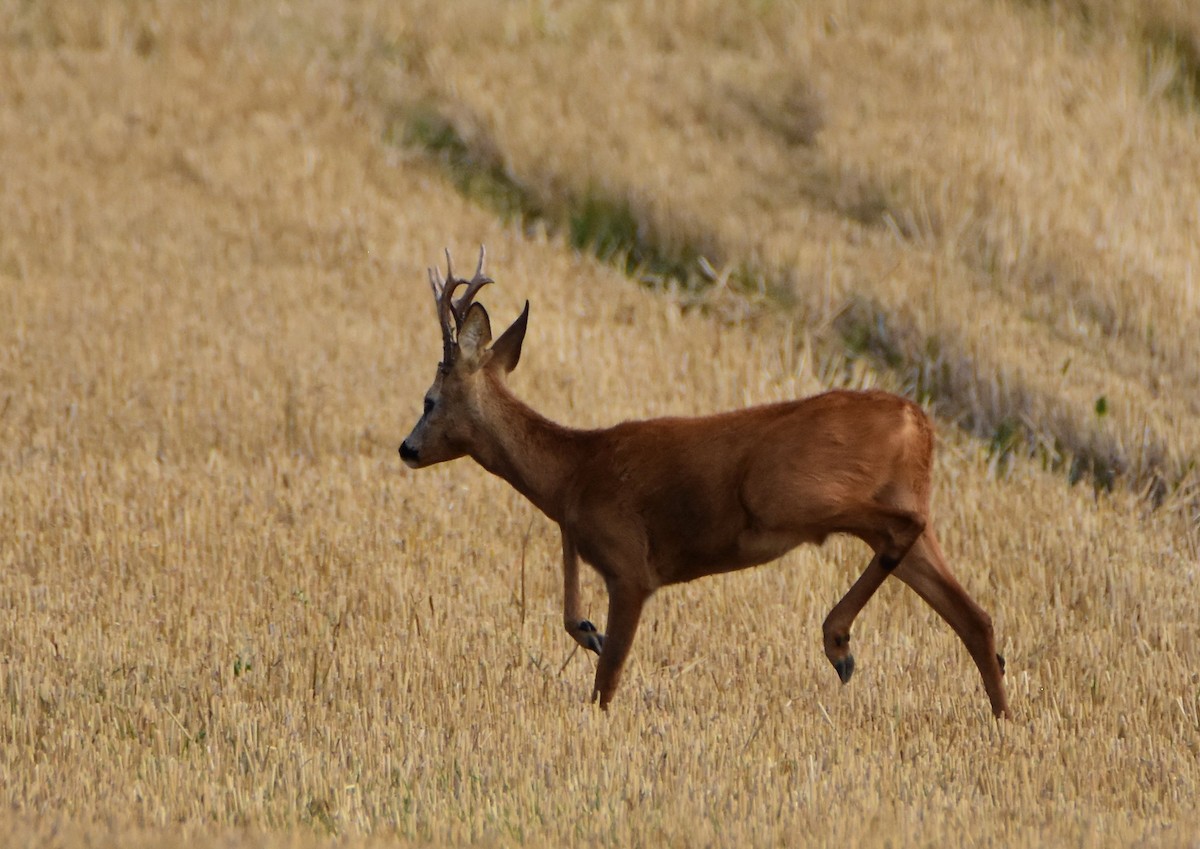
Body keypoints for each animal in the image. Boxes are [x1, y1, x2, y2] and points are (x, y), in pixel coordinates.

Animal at [399, 248, 1010, 719]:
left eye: (429, 400)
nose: (407, 448)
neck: (573, 472)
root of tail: (918, 422)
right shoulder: (585, 540)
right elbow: (576, 620)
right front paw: (588, 630)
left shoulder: (631, 567)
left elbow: (607, 679)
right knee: (974, 616)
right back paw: (1004, 719)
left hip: (789, 494)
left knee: (903, 530)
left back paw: (838, 643)